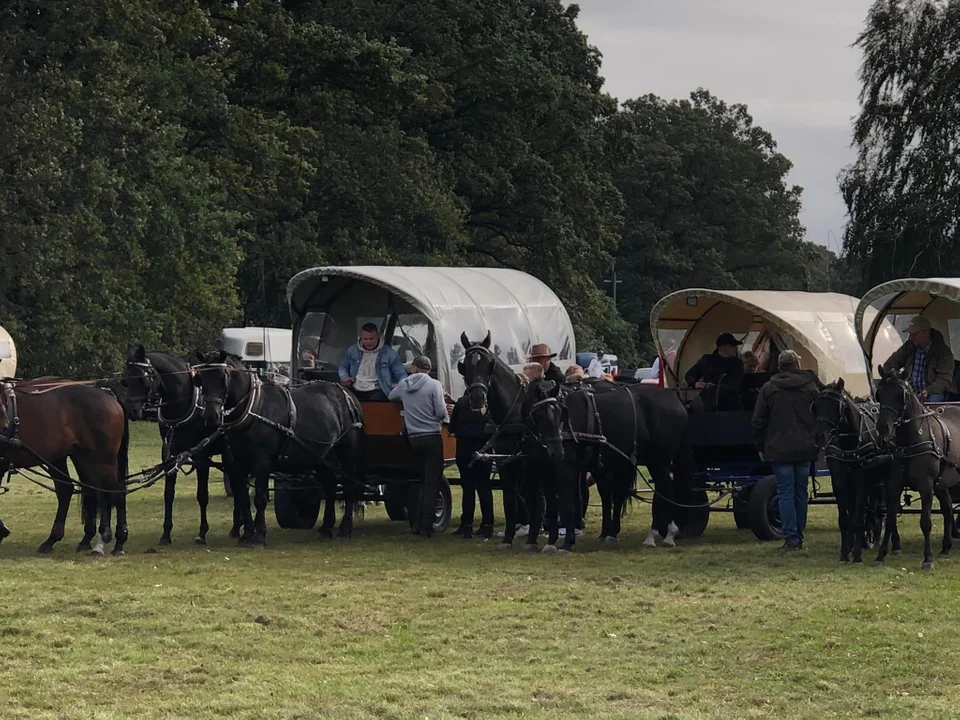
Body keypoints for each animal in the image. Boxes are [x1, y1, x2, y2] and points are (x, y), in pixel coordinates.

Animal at [0, 380, 129, 556]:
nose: (5, 426)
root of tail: (106, 394)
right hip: (77, 458)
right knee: (81, 491)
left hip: (103, 459)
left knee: (113, 492)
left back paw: (113, 540)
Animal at [121, 346, 235, 544]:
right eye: (126, 380)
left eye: (142, 378)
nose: (132, 411)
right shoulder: (169, 454)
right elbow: (168, 494)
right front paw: (166, 533)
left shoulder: (201, 456)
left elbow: (202, 495)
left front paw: (202, 532)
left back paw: (237, 527)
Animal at [193, 350, 366, 544]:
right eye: (200, 379)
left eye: (223, 378)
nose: (211, 416)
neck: (253, 409)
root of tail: (347, 394)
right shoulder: (237, 463)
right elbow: (243, 498)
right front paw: (247, 535)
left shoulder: (262, 462)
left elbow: (259, 499)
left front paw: (259, 535)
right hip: (323, 457)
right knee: (330, 486)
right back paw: (326, 528)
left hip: (347, 452)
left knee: (349, 487)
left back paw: (345, 529)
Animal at [812, 376, 896, 564]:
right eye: (816, 405)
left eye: (836, 406)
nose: (820, 436)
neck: (849, 443)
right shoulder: (839, 481)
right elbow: (845, 519)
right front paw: (845, 552)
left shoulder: (861, 482)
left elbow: (857, 519)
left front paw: (857, 554)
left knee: (886, 510)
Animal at [876, 368, 960, 572]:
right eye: (880, 394)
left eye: (901, 395)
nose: (883, 427)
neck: (910, 440)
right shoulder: (894, 484)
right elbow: (890, 520)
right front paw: (881, 555)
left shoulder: (926, 485)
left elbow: (925, 522)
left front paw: (928, 559)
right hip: (942, 483)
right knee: (947, 509)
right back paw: (945, 548)